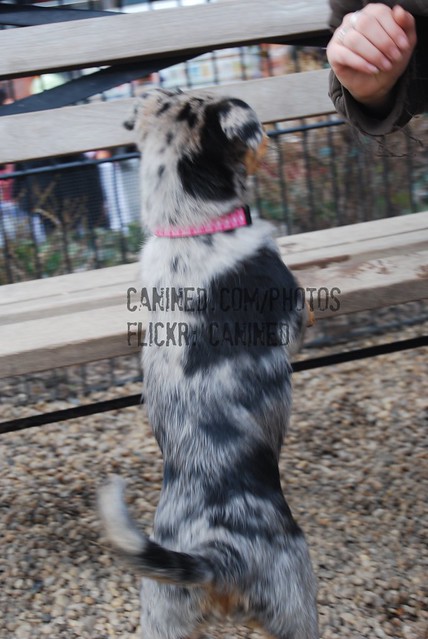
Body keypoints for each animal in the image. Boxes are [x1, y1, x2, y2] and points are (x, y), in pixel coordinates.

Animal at [98, 89, 318, 639]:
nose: (269, 136)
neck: (188, 226)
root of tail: (216, 556)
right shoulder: (292, 309)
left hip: (162, 614)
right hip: (297, 600)